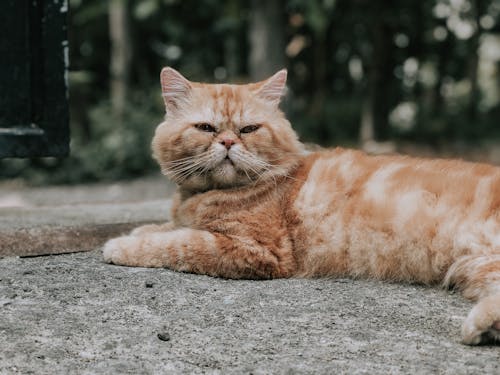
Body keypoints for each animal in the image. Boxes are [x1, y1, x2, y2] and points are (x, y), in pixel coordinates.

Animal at [102, 68, 500, 346]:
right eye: (206, 127)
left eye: (248, 129)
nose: (228, 142)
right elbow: (168, 228)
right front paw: (143, 228)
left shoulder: (255, 250)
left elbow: (177, 243)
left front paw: (121, 246)